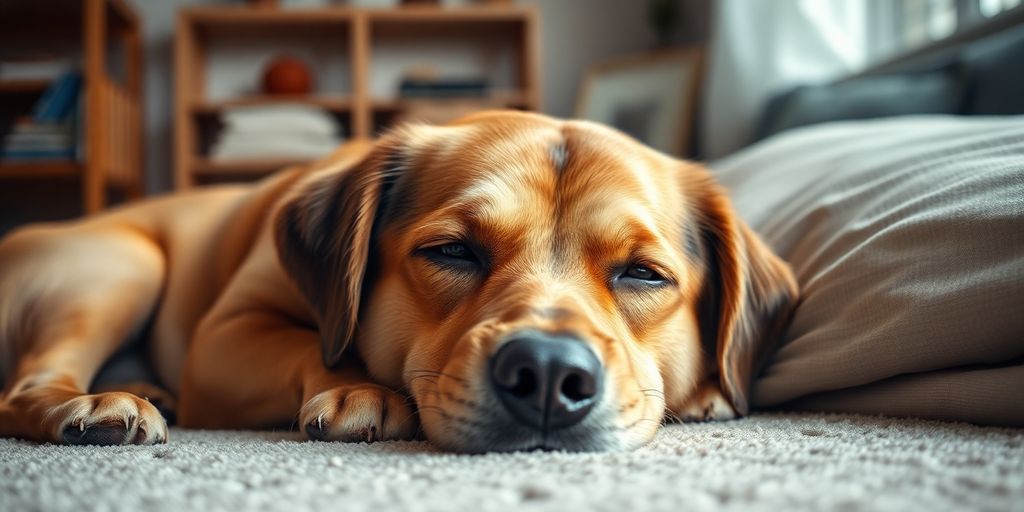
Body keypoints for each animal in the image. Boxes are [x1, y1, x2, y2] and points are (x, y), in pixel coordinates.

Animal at [0, 112, 798, 452]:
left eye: (642, 273)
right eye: (452, 251)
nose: (546, 374)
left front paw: (703, 395)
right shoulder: (224, 337)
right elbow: (317, 346)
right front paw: (360, 389)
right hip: (121, 264)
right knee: (22, 390)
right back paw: (98, 404)